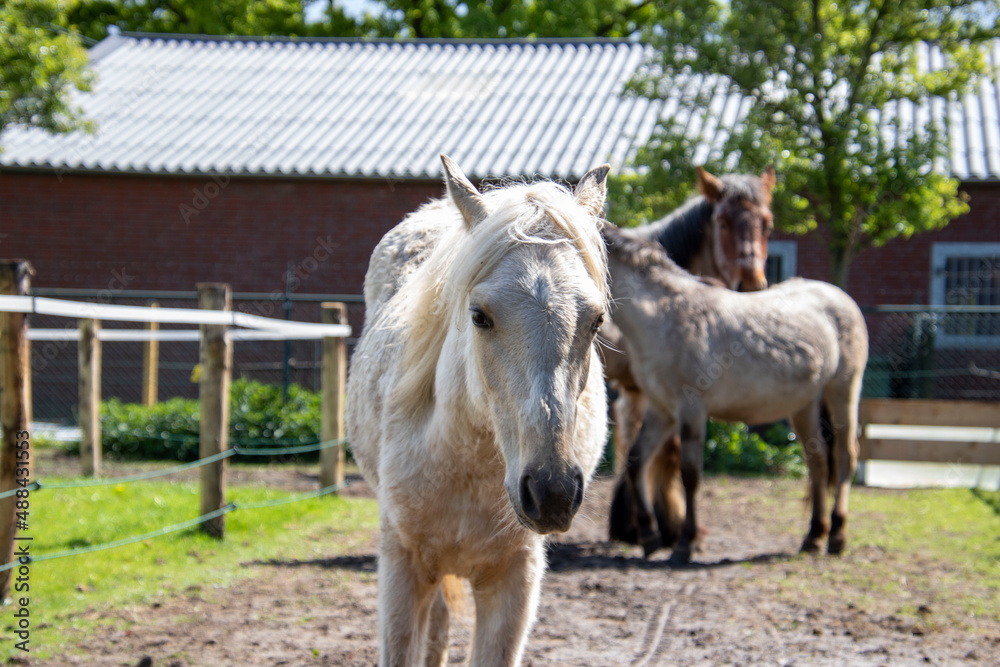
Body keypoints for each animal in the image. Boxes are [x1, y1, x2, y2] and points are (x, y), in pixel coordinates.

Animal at [601, 166, 775, 546]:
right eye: (723, 222)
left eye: (767, 223)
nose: (751, 284)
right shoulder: (656, 393)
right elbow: (667, 453)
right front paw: (670, 525)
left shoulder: (642, 392)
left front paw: (631, 523)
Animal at [601, 222, 868, 563]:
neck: (663, 315)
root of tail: (840, 297)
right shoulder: (661, 410)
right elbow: (636, 461)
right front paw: (649, 536)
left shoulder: (691, 409)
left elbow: (690, 475)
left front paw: (685, 544)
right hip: (804, 405)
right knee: (818, 459)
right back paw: (814, 537)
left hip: (843, 390)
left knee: (845, 457)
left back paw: (837, 536)